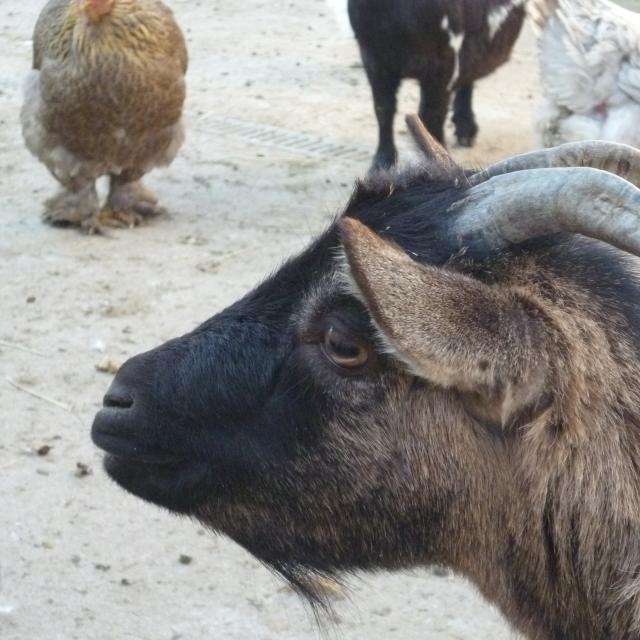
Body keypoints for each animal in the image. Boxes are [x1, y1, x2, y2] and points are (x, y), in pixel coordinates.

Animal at [348, 0, 528, 169]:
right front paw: (382, 164)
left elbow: (431, 115)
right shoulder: (373, 57)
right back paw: (465, 126)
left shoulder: (441, 62)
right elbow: (383, 109)